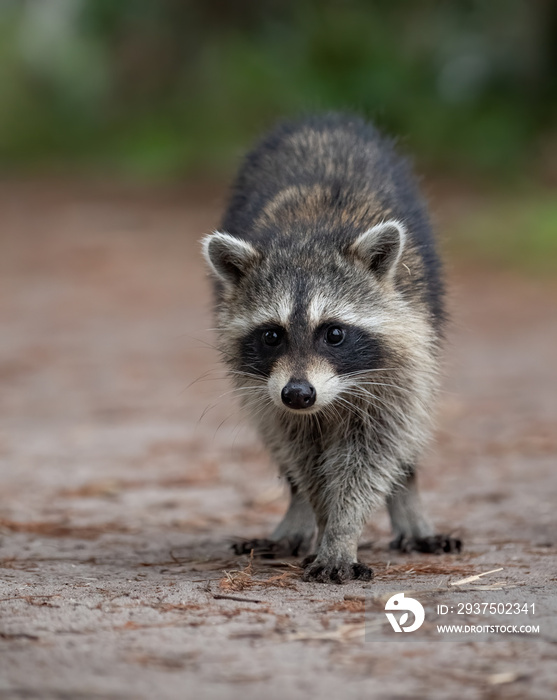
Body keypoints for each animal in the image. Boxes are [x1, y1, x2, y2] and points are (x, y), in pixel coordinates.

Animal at [202, 113, 458, 584]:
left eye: (333, 333)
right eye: (272, 335)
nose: (299, 394)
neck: (310, 238)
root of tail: (323, 118)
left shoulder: (400, 358)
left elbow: (375, 450)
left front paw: (341, 532)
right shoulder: (271, 391)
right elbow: (303, 455)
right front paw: (323, 521)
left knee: (406, 436)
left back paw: (409, 500)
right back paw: (299, 512)